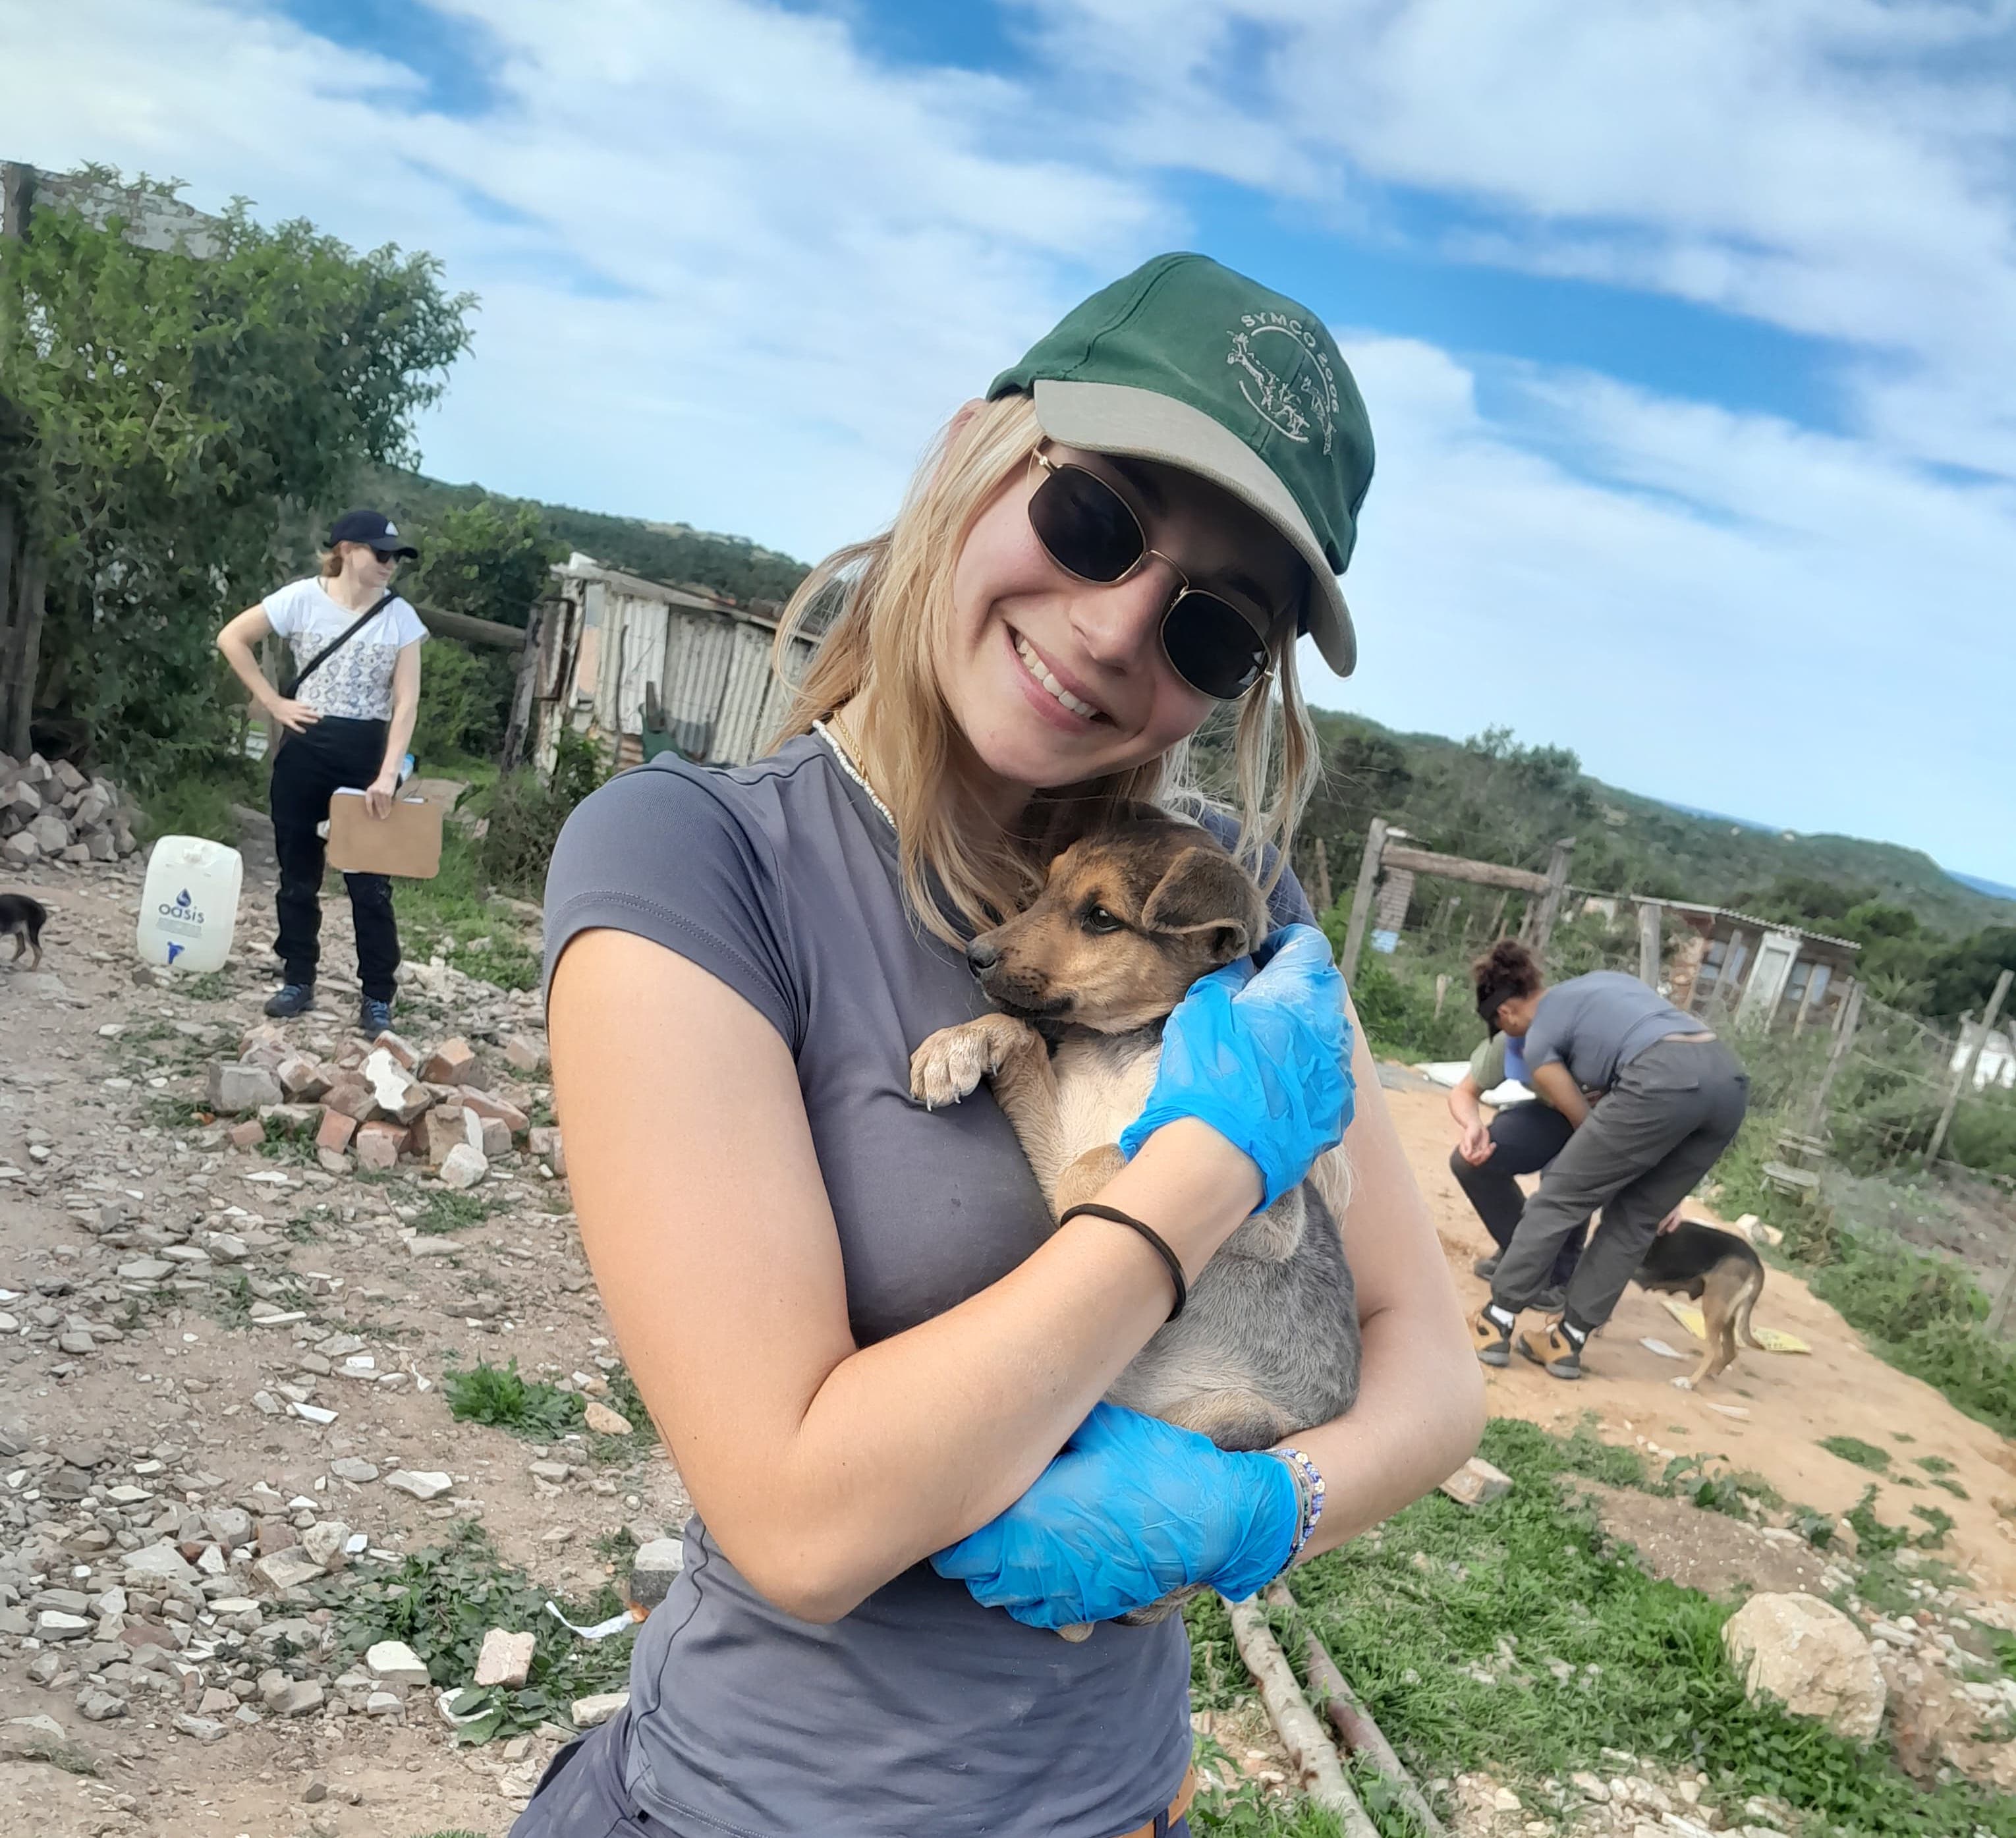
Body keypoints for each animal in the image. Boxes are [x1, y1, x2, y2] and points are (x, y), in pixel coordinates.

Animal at [911, 806, 1355, 1620]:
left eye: (1101, 918)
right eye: (1045, 889)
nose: (976, 955)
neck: (1123, 1050)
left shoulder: (1267, 1210)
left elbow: (1095, 1164)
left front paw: (1081, 1199)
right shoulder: (1055, 1129)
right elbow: (1026, 1041)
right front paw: (958, 1044)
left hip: (1233, 1423)